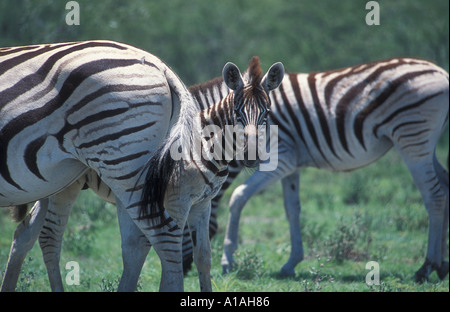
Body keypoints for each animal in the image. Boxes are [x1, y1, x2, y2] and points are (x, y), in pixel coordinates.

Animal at [0, 42, 284, 292]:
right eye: (238, 114)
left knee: (26, 233)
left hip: (50, 184)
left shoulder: (202, 204)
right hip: (71, 187)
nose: (251, 156)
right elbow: (167, 253)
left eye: (266, 115)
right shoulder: (176, 203)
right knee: (49, 236)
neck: (202, 144)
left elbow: (203, 257)